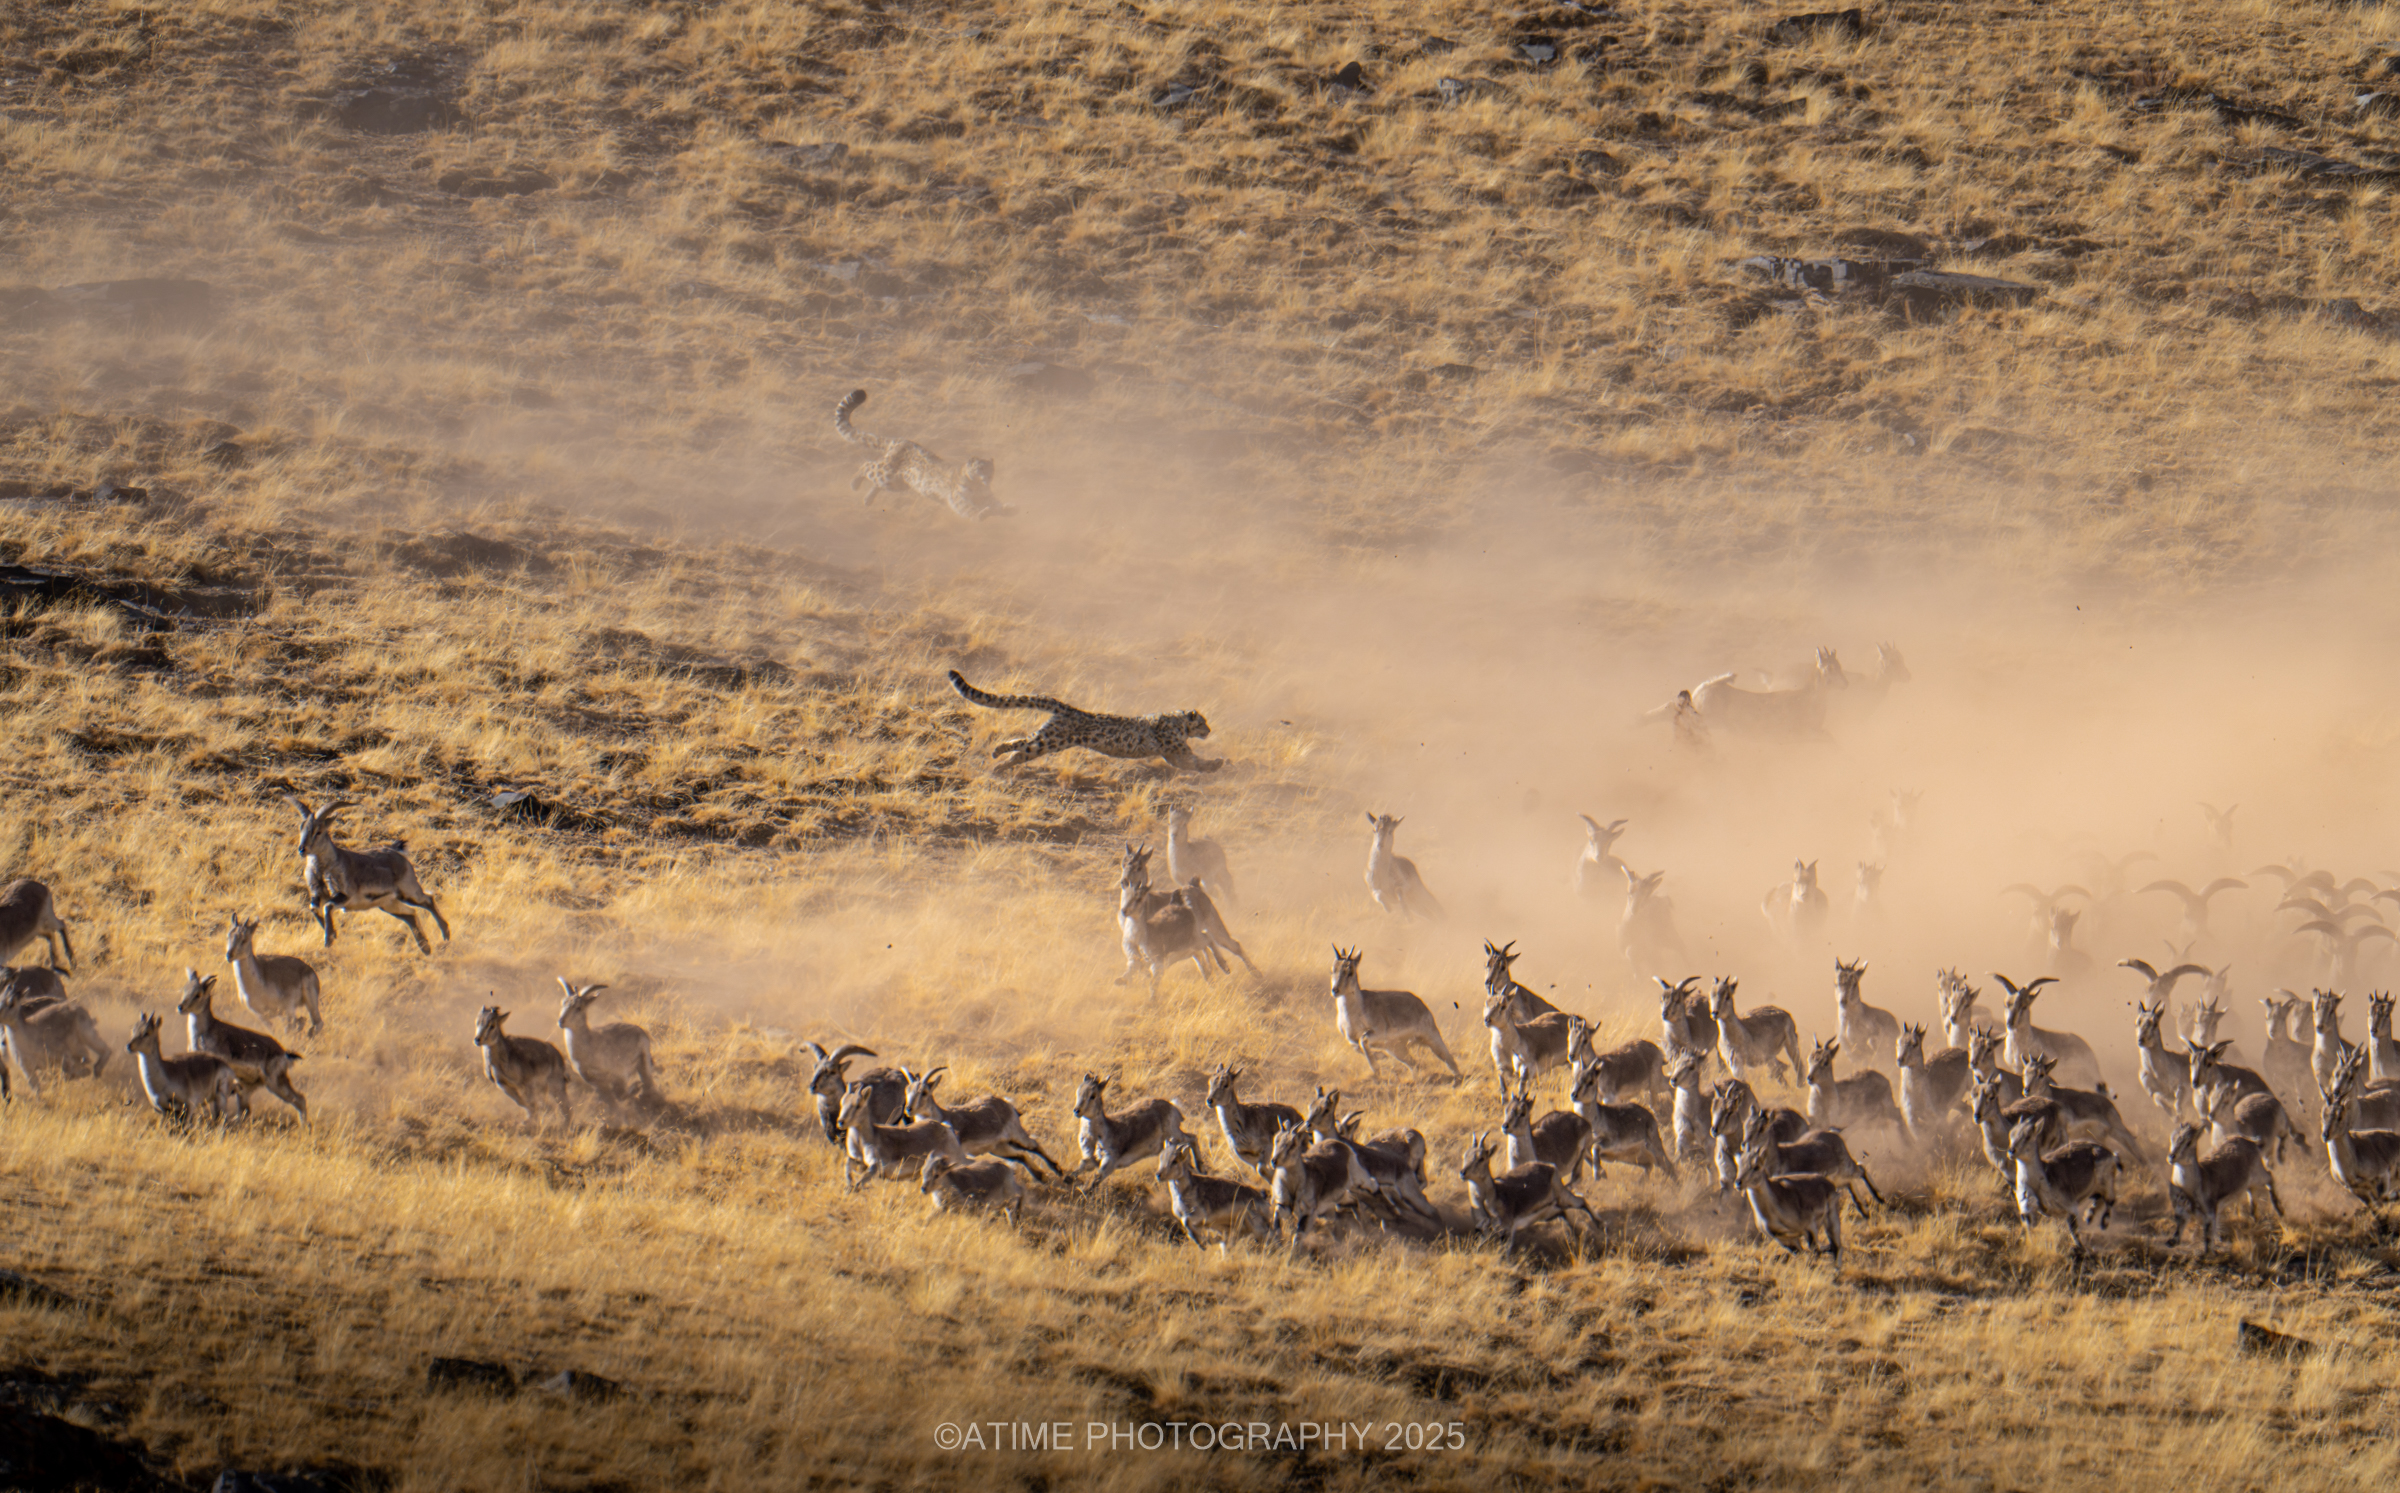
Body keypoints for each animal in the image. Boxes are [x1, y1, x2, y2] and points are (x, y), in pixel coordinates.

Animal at [833, 389, 1011, 520]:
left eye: (991, 470)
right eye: (980, 468)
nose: (987, 478)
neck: (978, 486)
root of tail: (899, 440)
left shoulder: (987, 496)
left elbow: (995, 502)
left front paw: (1008, 508)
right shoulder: (958, 499)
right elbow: (968, 509)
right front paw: (981, 514)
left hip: (896, 483)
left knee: (876, 480)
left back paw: (867, 500)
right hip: (888, 474)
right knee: (867, 465)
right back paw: (854, 484)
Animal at [947, 670, 1222, 774]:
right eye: (1203, 722)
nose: (1209, 730)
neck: (1181, 722)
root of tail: (1069, 708)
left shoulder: (1173, 755)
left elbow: (1191, 763)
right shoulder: (1178, 752)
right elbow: (1196, 762)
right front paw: (1221, 763)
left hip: (1047, 741)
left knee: (1020, 747)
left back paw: (998, 763)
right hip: (1052, 741)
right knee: (1021, 745)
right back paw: (996, 760)